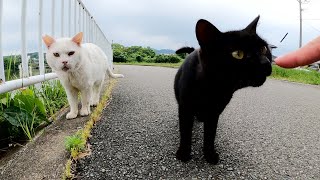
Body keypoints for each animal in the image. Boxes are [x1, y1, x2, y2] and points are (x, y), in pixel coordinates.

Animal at [174, 16, 272, 164]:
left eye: (263, 48)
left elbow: (210, 134)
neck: (214, 89)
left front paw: (209, 155)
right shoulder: (186, 108)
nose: (265, 62)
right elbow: (185, 131)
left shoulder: (214, 112)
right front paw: (184, 153)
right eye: (238, 54)